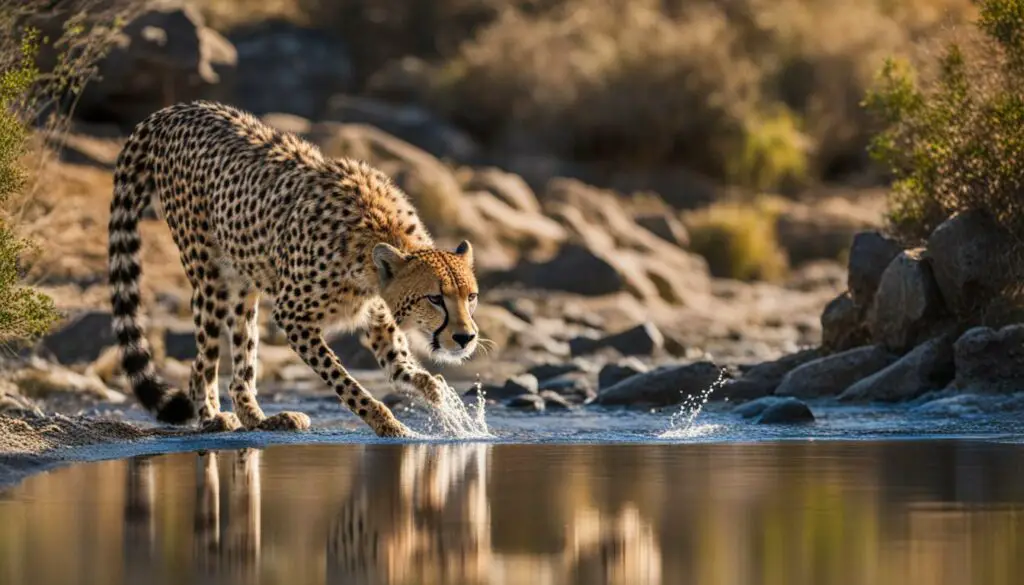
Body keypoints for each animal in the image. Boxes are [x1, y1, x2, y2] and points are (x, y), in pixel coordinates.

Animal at [108, 101, 479, 438]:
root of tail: (177, 109)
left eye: (471, 297)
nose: (465, 338)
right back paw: (212, 417)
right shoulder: (293, 315)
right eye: (434, 298)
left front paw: (437, 393)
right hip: (210, 277)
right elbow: (344, 381)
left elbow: (400, 365)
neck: (379, 237)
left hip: (244, 283)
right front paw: (386, 423)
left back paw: (260, 418)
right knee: (203, 359)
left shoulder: (378, 313)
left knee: (239, 362)